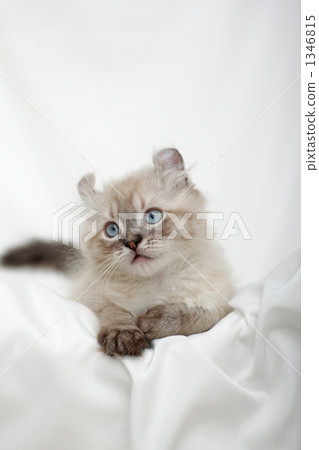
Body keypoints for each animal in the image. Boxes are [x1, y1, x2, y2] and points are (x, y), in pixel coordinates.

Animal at [0, 149, 235, 356]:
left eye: (152, 216)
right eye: (112, 230)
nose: (132, 242)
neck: (153, 283)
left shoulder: (223, 305)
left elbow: (197, 315)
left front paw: (153, 321)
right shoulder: (94, 297)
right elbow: (115, 312)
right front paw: (124, 335)